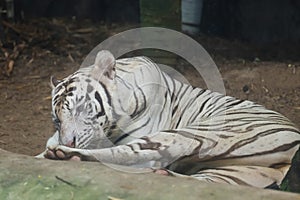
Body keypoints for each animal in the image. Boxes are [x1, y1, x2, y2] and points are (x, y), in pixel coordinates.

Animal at [37, 50, 300, 189]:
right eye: (57, 120)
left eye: (81, 108)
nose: (68, 141)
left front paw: (57, 149)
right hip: (235, 172)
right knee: (205, 182)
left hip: (195, 134)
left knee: (126, 154)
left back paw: (64, 154)